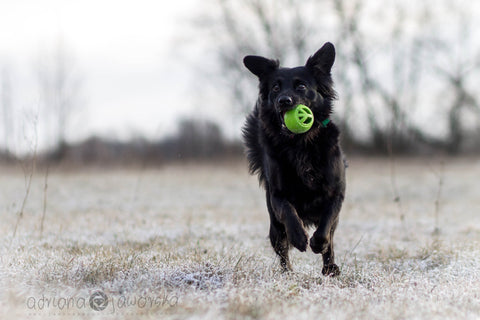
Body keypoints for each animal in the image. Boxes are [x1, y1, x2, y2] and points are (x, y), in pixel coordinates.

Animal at [244, 42, 344, 276]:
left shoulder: (336, 192)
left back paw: (330, 268)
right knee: (281, 249)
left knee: (331, 238)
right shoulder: (277, 195)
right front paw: (299, 238)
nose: (284, 101)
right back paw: (287, 272)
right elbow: (289, 212)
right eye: (275, 88)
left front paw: (318, 243)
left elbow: (326, 224)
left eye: (301, 86)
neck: (300, 143)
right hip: (274, 226)